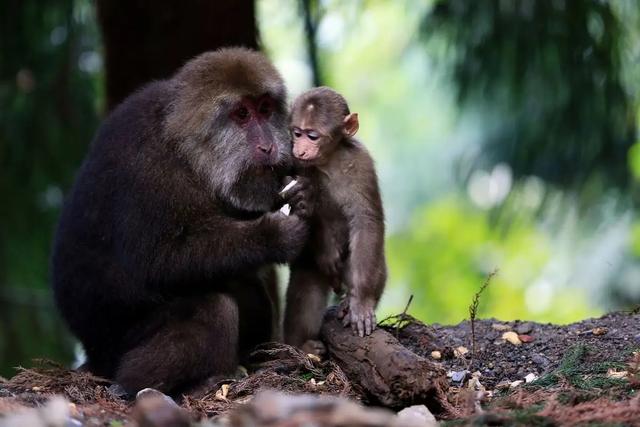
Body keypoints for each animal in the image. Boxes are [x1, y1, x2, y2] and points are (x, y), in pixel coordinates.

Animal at [50, 48, 310, 396]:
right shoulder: (147, 166)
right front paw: (276, 236)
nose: (268, 146)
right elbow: (158, 259)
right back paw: (154, 383)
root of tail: (93, 353)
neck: (186, 154)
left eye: (265, 109)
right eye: (242, 114)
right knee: (214, 306)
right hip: (120, 344)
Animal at [284, 87, 384, 354]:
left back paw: (352, 301)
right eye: (297, 133)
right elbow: (304, 209)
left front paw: (361, 301)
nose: (300, 149)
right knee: (307, 287)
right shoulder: (295, 165)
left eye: (313, 136)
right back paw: (301, 346)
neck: (329, 162)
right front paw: (328, 252)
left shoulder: (362, 164)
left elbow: (366, 221)